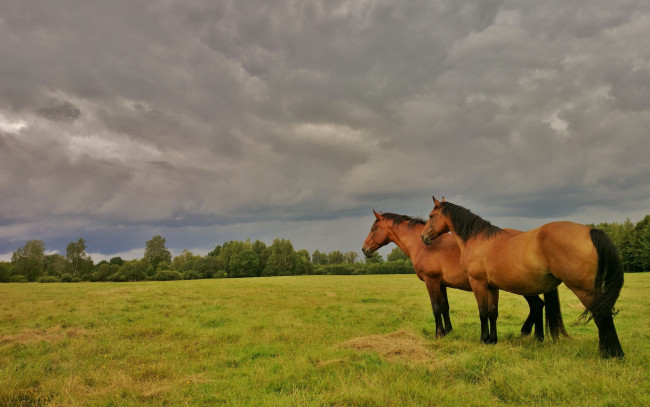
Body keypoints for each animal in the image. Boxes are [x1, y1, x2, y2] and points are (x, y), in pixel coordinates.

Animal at [360, 210, 560, 342]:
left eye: (373, 228)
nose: (364, 249)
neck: (425, 245)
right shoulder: (441, 283)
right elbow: (445, 307)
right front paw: (448, 331)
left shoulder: (431, 281)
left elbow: (436, 308)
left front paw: (439, 334)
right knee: (537, 305)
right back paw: (534, 335)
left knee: (537, 305)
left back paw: (534, 335)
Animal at [420, 198, 624, 360]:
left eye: (431, 215)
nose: (423, 237)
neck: (478, 240)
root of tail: (590, 230)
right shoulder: (492, 287)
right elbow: (493, 313)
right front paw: (492, 340)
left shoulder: (478, 283)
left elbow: (483, 312)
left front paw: (483, 340)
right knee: (601, 315)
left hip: (582, 289)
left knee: (602, 316)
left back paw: (613, 353)